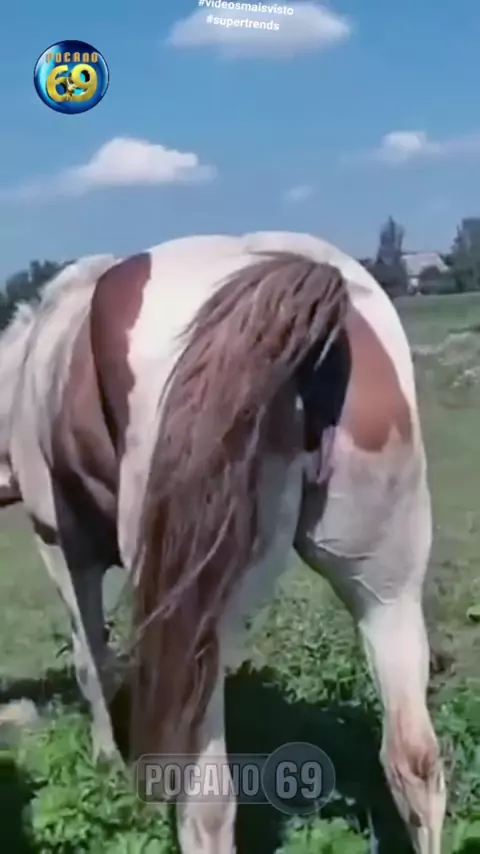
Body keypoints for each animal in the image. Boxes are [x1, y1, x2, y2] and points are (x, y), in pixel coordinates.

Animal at [0, 232, 446, 854]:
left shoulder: (63, 551)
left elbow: (94, 665)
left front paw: (108, 763)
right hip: (387, 590)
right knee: (414, 762)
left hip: (201, 623)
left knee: (205, 801)